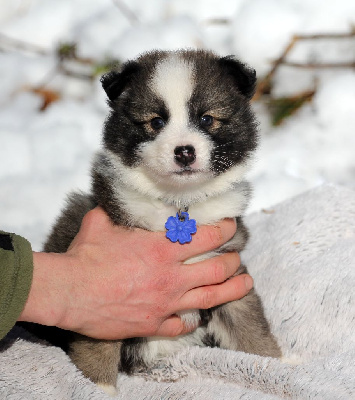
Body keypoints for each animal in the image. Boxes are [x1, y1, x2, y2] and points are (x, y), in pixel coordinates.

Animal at [34, 49, 280, 394]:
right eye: (156, 122)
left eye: (206, 119)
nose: (184, 151)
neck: (177, 203)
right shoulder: (106, 306)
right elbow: (97, 352)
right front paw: (100, 391)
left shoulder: (226, 271)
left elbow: (249, 327)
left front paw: (283, 365)